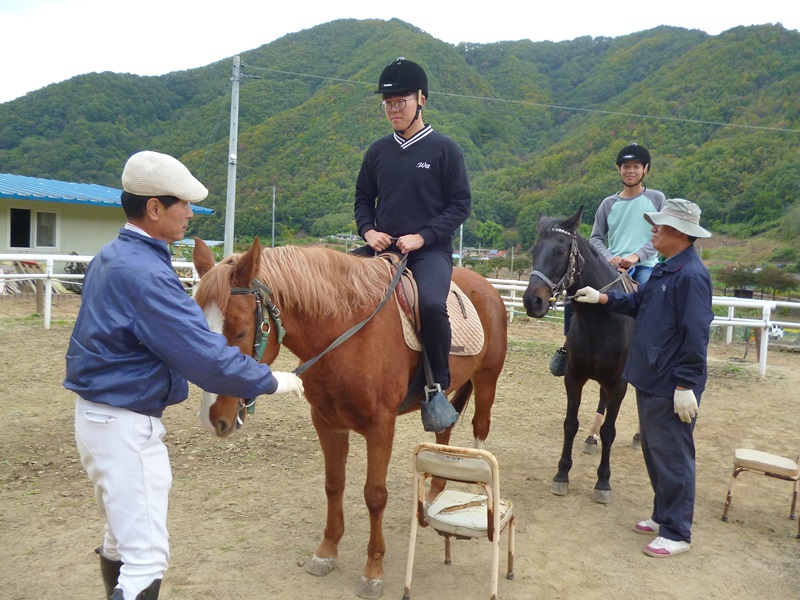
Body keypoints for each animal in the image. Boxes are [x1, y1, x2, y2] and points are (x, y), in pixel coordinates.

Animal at [191, 239, 506, 600]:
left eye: (242, 331)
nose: (213, 418)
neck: (347, 332)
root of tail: (486, 286)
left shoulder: (381, 426)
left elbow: (375, 495)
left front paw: (373, 570)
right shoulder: (327, 422)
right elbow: (334, 485)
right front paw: (326, 551)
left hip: (487, 379)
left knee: (480, 429)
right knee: (445, 430)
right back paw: (435, 493)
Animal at [520, 209, 636, 504]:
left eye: (561, 251)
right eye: (534, 250)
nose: (532, 301)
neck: (602, 317)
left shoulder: (619, 383)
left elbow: (610, 431)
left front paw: (603, 481)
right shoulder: (573, 378)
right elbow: (570, 424)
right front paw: (562, 474)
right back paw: (590, 439)